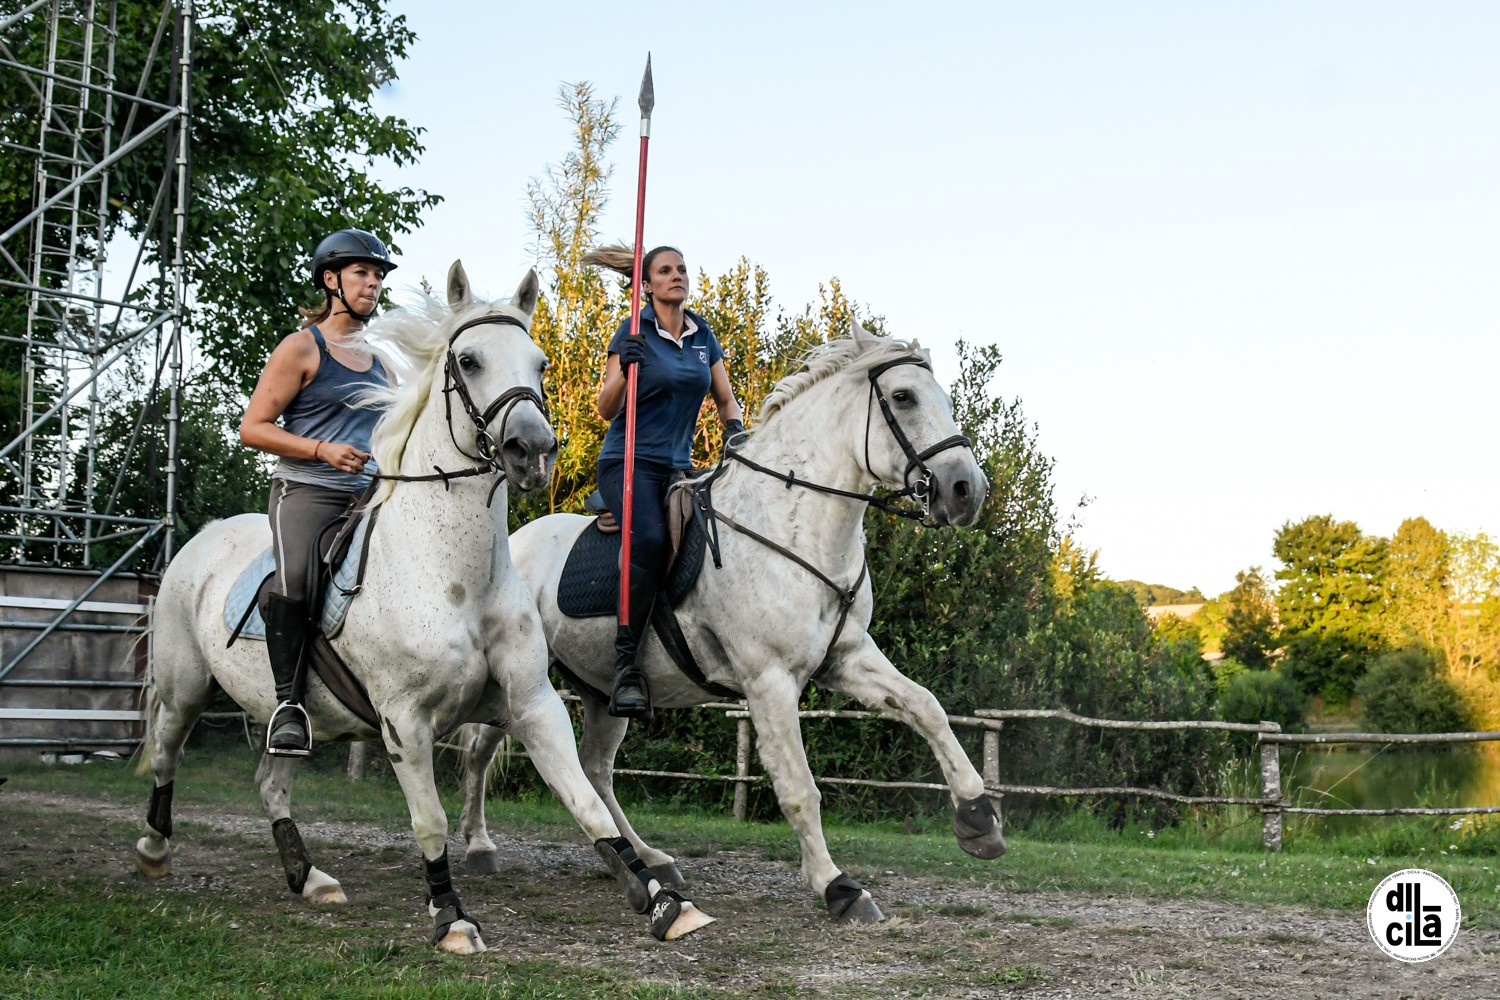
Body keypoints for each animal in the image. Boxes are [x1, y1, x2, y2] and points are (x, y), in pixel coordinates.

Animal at [133, 262, 708, 953]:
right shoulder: (404, 721)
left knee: (271, 781)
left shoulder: (534, 704)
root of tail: (203, 538)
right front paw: (452, 917)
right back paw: (155, 851)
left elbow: (587, 803)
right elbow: (429, 822)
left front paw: (664, 901)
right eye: (468, 359)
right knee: (167, 754)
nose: (533, 451)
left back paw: (309, 877)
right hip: (184, 685)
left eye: (540, 363)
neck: (455, 578)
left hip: (287, 712)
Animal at [456, 320, 1008, 923]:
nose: (967, 491)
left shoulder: (846, 658)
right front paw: (838, 886)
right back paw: (480, 846)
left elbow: (927, 707)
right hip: (524, 678)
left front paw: (978, 819)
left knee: (594, 768)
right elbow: (799, 787)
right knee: (483, 751)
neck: (792, 523)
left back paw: (643, 858)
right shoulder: (769, 680)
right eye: (904, 397)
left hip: (602, 691)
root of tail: (513, 544)